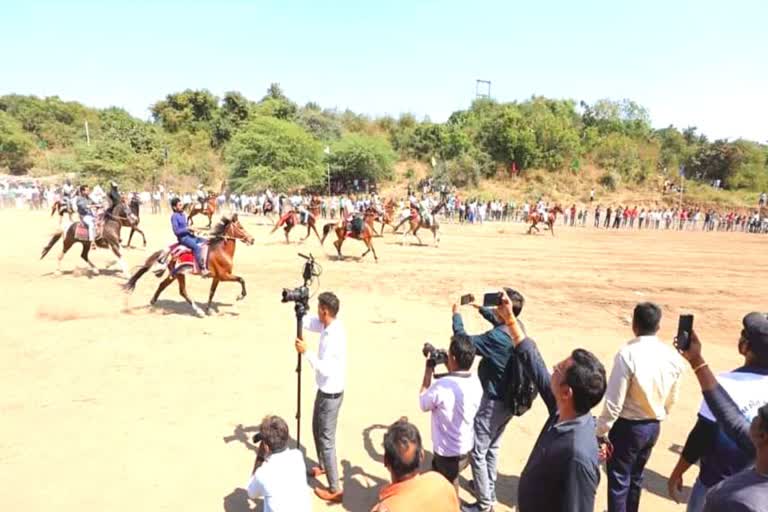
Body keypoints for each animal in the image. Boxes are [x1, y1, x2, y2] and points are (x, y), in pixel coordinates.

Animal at [124, 213, 255, 316]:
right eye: (241, 227)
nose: (252, 239)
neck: (221, 251)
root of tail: (169, 249)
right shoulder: (223, 276)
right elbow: (241, 280)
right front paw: (240, 296)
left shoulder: (217, 278)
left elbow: (212, 292)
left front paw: (208, 309)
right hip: (179, 274)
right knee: (182, 291)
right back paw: (198, 311)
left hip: (175, 274)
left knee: (163, 285)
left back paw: (152, 301)